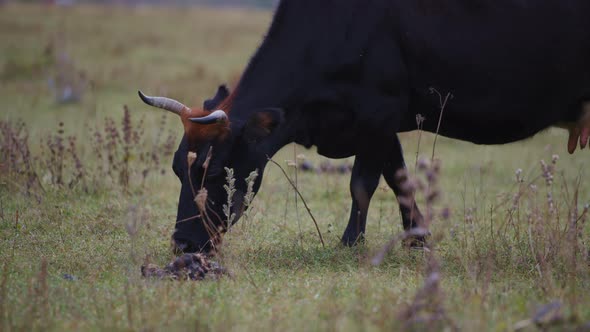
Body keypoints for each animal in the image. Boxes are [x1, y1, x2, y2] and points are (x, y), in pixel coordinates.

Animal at [139, 0, 590, 254]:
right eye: (178, 168)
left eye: (214, 171)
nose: (182, 244)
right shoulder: (378, 123)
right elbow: (399, 178)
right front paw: (417, 238)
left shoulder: (380, 110)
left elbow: (363, 183)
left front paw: (350, 242)